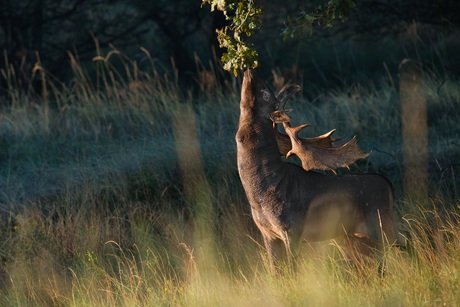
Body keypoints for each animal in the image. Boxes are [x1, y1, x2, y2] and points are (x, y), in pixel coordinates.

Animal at [237, 70, 402, 272]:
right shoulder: (267, 233)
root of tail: (388, 185)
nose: (250, 71)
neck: (261, 194)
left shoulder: (292, 229)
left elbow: (292, 270)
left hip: (380, 226)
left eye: (265, 94)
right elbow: (276, 271)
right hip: (354, 237)